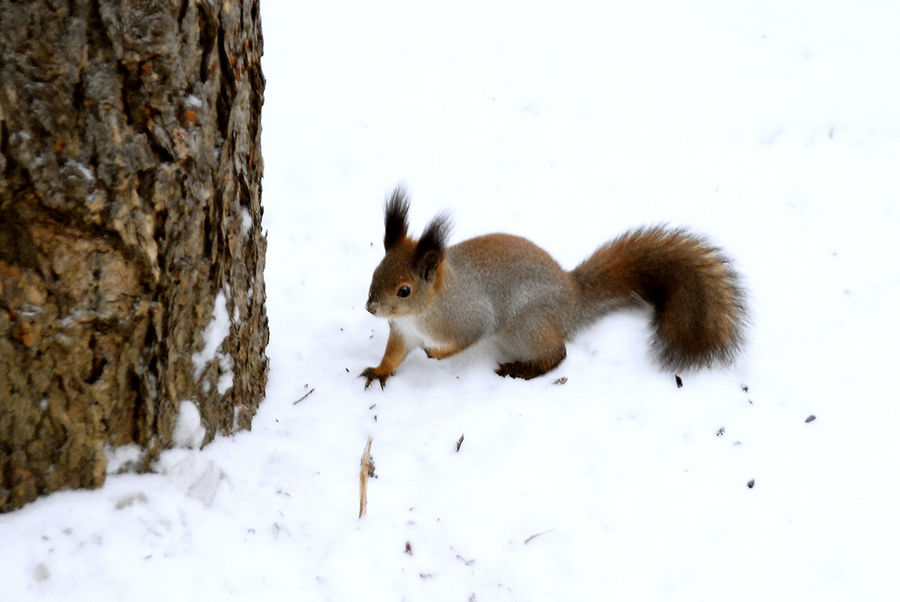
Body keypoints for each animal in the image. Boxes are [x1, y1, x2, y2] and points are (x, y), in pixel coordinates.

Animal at [358, 185, 744, 386]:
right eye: (375, 271)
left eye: (404, 290)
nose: (371, 307)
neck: (421, 313)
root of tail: (572, 299)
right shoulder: (402, 333)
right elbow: (393, 355)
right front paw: (378, 371)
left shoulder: (468, 316)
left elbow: (467, 337)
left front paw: (437, 353)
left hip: (523, 327)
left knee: (557, 353)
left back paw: (522, 369)